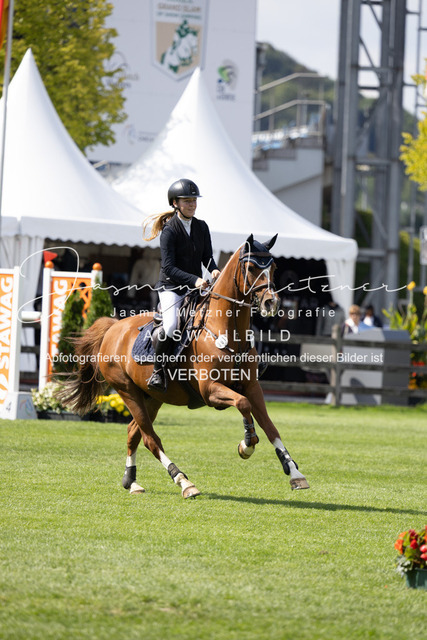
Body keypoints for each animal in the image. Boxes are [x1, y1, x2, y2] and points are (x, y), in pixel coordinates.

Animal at [57, 235, 309, 498]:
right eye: (250, 268)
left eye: (274, 268)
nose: (272, 303)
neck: (227, 332)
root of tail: (113, 328)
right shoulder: (211, 390)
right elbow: (243, 405)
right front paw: (246, 444)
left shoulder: (252, 388)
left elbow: (271, 427)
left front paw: (294, 473)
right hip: (127, 391)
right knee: (150, 439)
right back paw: (183, 481)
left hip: (152, 397)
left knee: (133, 432)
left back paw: (132, 481)